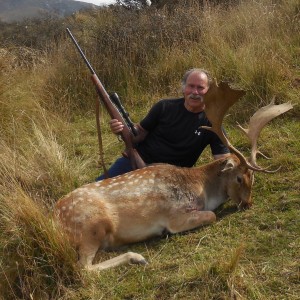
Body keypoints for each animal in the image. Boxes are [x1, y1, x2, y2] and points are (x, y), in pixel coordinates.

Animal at [54, 81, 292, 270]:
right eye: (239, 178)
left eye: (253, 178)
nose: (248, 203)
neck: (201, 187)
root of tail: (54, 219)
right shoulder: (174, 215)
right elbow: (211, 215)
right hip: (91, 225)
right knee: (83, 268)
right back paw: (137, 257)